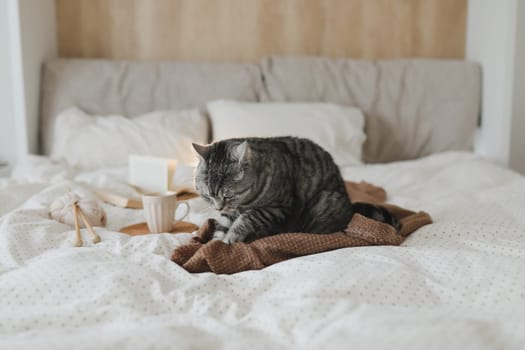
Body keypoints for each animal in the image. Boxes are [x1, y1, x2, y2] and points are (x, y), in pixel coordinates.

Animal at [192, 137, 398, 243]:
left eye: (228, 195)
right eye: (208, 196)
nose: (218, 207)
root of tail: (350, 206)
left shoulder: (276, 207)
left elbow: (245, 219)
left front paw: (230, 238)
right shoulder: (229, 212)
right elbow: (221, 226)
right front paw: (214, 242)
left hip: (323, 202)